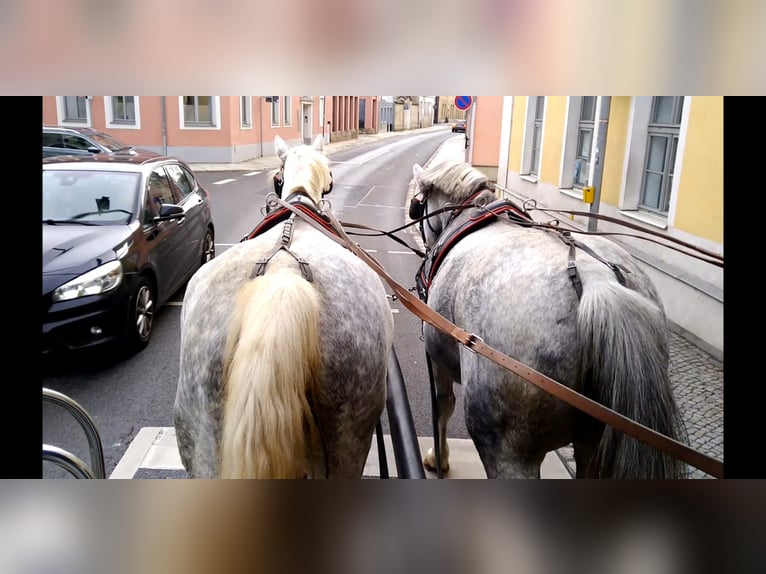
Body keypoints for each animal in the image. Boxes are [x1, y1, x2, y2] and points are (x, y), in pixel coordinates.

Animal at [409, 160, 687, 479]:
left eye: (419, 205)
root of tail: (598, 281)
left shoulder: (436, 355)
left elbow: (442, 406)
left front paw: (437, 458)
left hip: (508, 446)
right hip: (595, 441)